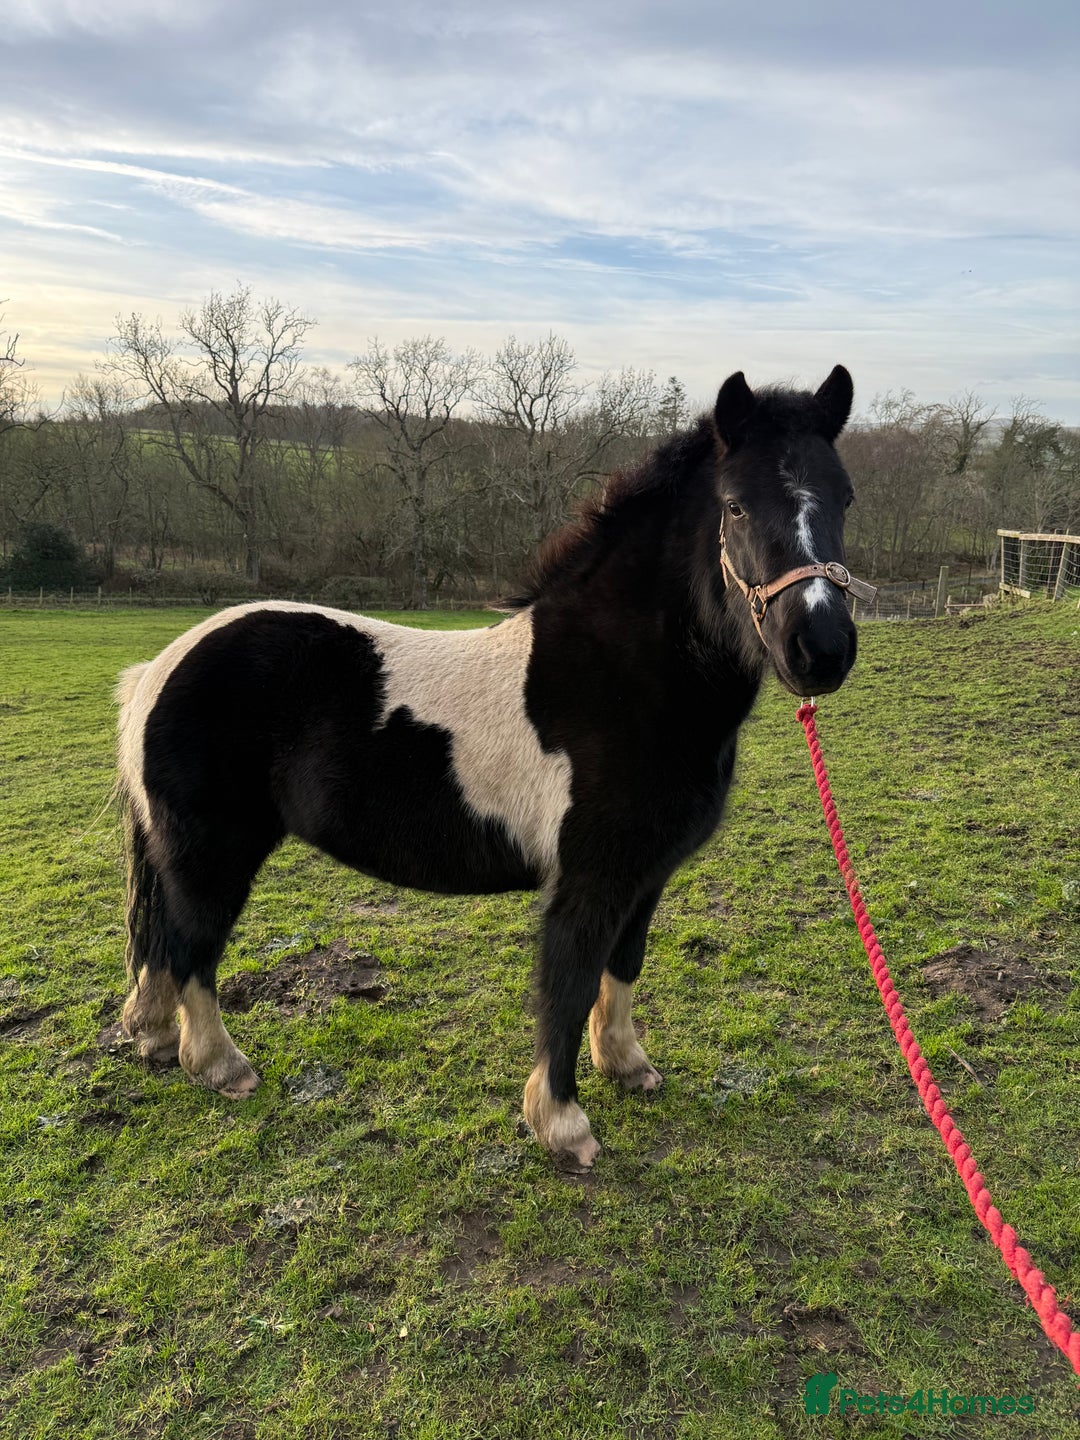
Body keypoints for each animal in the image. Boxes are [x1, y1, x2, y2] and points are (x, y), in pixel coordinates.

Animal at [116, 365, 872, 1169]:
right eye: (734, 504)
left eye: (845, 496)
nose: (820, 649)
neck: (619, 678)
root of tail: (157, 669)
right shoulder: (588, 880)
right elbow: (569, 986)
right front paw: (563, 1124)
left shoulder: (644, 875)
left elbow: (623, 966)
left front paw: (627, 1066)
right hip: (214, 853)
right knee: (192, 949)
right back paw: (220, 1066)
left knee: (162, 944)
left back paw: (155, 1040)